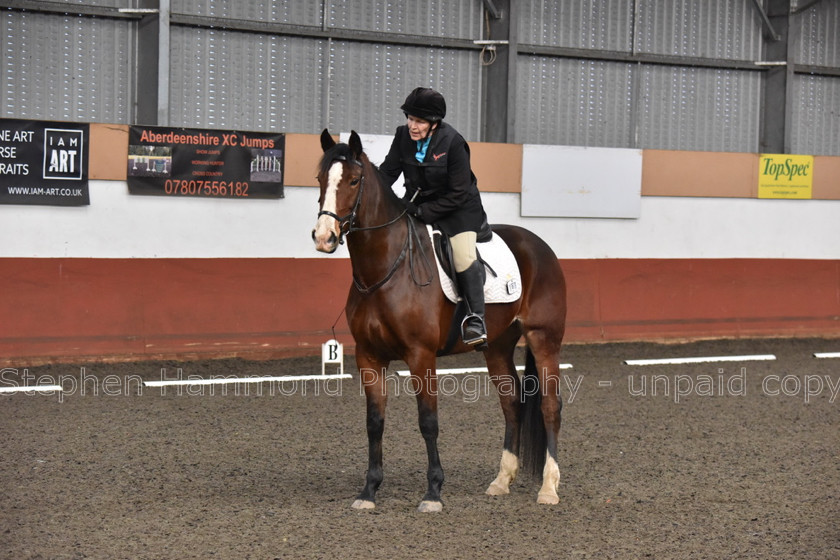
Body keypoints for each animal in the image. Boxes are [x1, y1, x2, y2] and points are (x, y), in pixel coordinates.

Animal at [312, 128, 568, 512]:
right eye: (320, 179)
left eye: (354, 181)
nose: (323, 237)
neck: (386, 268)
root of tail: (540, 246)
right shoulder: (369, 358)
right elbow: (375, 423)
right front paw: (369, 491)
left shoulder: (421, 356)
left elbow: (428, 422)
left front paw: (433, 492)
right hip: (497, 347)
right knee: (511, 403)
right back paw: (501, 481)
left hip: (543, 340)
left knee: (551, 407)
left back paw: (549, 488)